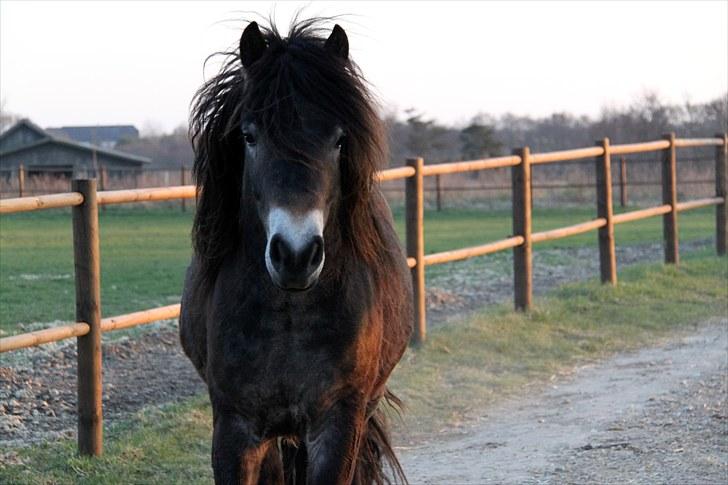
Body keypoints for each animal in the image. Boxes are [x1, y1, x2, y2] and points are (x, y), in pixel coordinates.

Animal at [179, 18, 412, 484]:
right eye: (249, 136)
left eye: (339, 140)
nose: (296, 255)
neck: (289, 313)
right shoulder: (236, 427)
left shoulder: (338, 422)